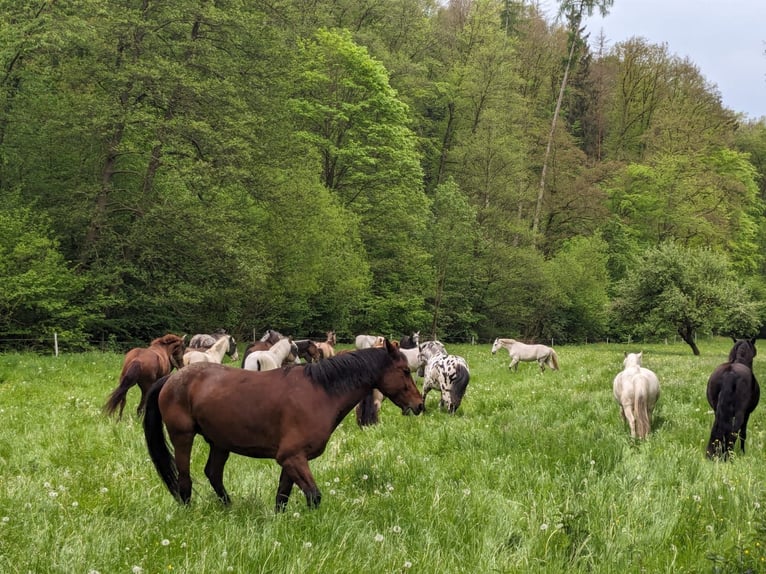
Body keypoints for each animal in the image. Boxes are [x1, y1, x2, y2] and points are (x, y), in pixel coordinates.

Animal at [141, 338, 424, 512]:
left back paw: (229, 508)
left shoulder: (292, 461)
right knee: (185, 480)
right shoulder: (292, 457)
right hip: (183, 437)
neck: (320, 393)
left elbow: (282, 497)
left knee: (213, 474)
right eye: (405, 371)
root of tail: (172, 378)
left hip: (220, 442)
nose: (420, 404)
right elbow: (314, 496)